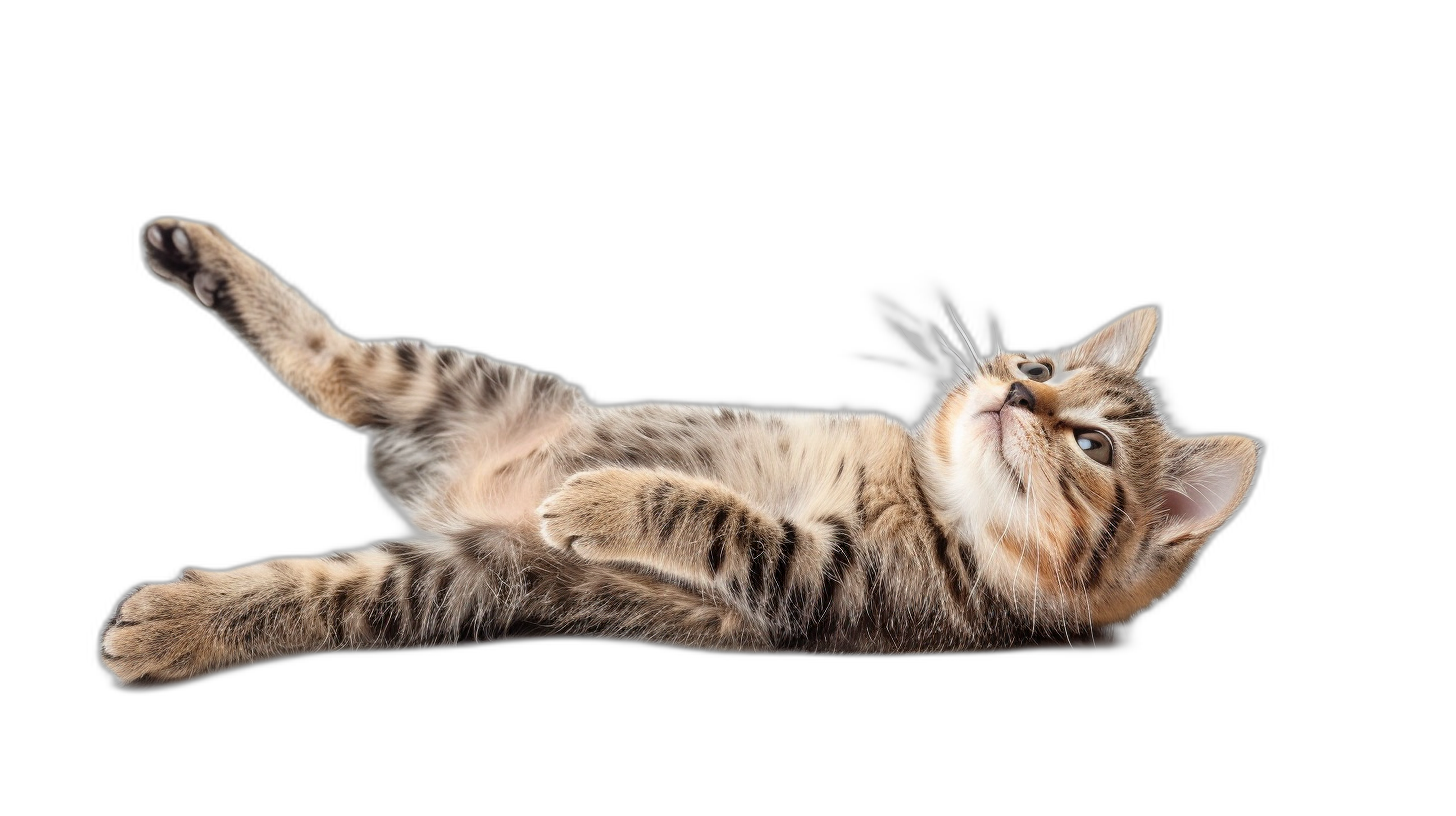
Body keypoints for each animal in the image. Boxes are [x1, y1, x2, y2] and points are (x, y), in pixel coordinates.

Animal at [102, 217, 1263, 687]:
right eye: (1039, 360)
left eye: (1095, 442)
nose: (1016, 386)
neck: (938, 504)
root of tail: (433, 474)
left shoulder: (823, 583)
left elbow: (707, 511)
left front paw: (601, 499)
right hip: (464, 383)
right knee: (333, 361)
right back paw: (187, 247)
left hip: (479, 571)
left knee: (336, 576)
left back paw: (172, 625)